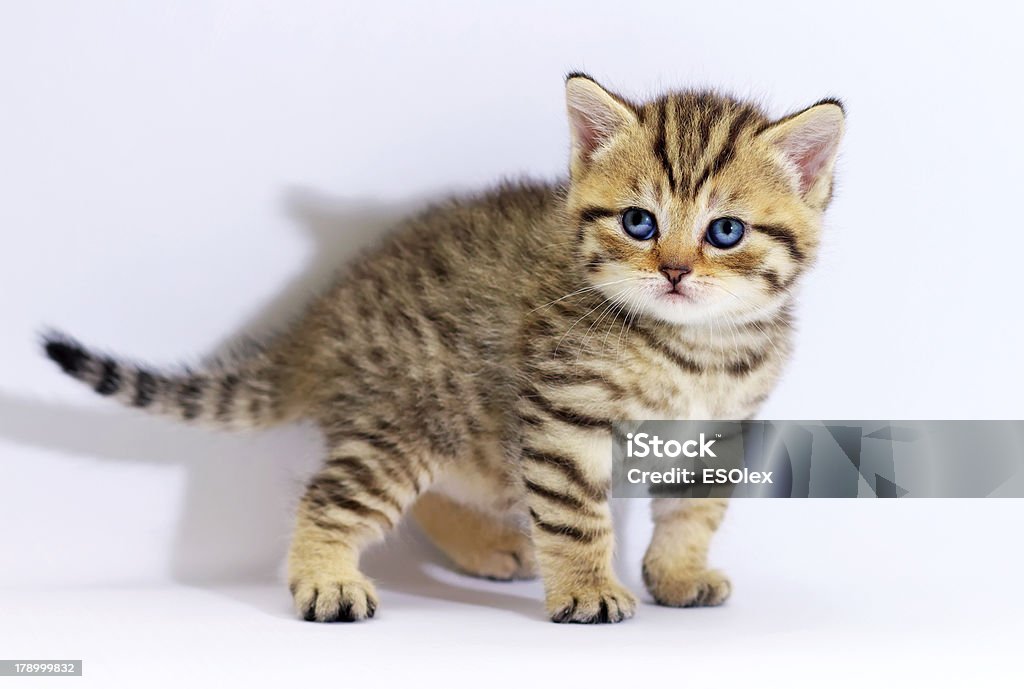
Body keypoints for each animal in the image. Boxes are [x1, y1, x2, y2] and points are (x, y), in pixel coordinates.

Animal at [44, 73, 843, 622]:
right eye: (639, 223)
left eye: (726, 231)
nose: (675, 270)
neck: (696, 348)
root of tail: (323, 316)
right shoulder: (563, 416)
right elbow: (574, 513)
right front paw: (587, 587)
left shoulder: (718, 426)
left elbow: (694, 509)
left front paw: (677, 573)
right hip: (405, 417)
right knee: (332, 495)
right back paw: (326, 578)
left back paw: (488, 546)